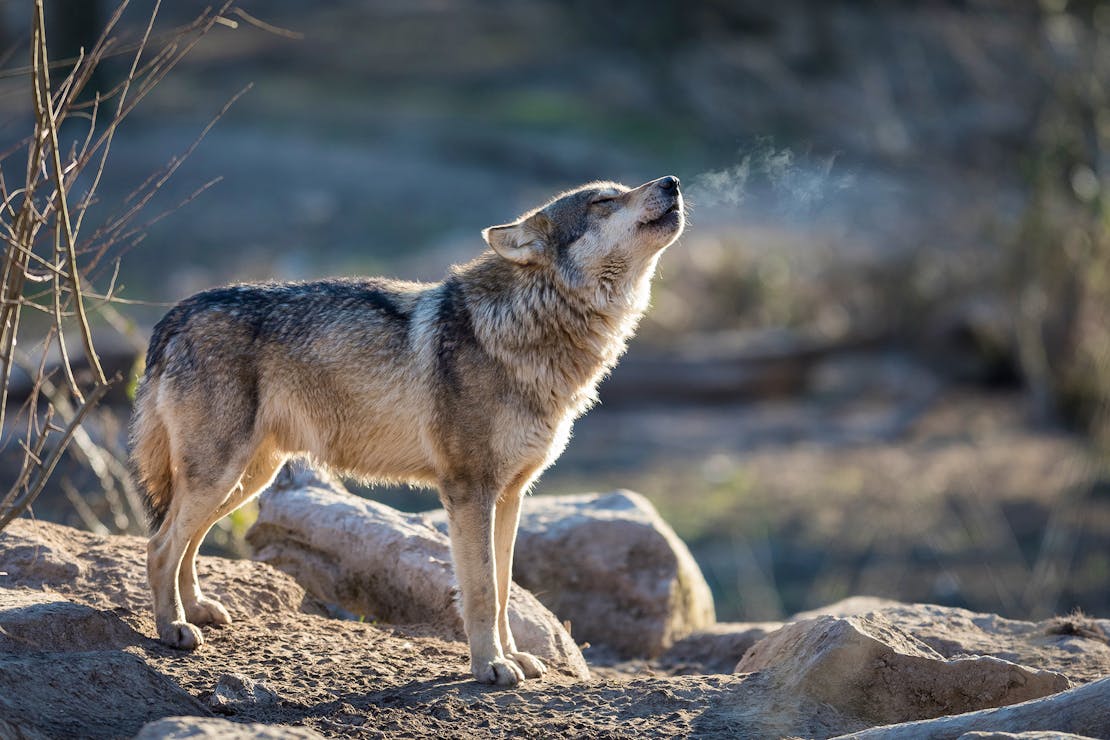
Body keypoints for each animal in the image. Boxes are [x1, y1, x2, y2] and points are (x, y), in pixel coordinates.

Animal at [129, 176, 683, 687]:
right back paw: (172, 629)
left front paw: (515, 657)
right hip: (221, 476)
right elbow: (482, 591)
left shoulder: (511, 495)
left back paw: (197, 611)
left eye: (621, 189)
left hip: (245, 479)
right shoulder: (468, 491)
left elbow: (505, 588)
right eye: (604, 201)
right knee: (159, 546)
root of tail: (175, 314)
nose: (672, 182)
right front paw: (490, 666)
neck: (524, 325)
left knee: (186, 544)